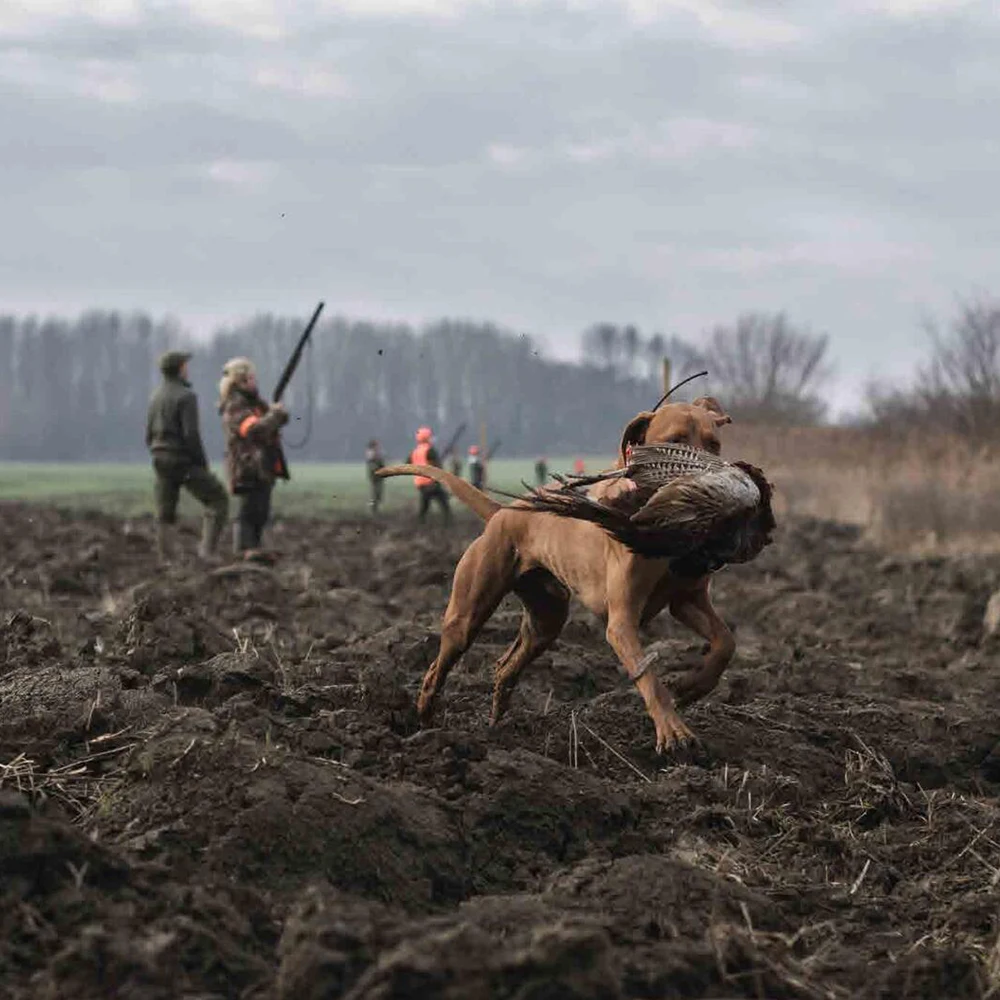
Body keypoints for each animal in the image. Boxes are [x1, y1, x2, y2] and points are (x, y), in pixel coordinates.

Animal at [382, 396, 744, 752]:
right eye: (675, 442)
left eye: (713, 444)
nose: (707, 482)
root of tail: (502, 512)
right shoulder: (621, 621)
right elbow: (650, 677)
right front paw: (672, 730)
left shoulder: (686, 600)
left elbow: (725, 641)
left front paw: (694, 685)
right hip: (468, 612)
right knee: (438, 666)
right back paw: (426, 722)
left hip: (546, 618)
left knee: (506, 666)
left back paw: (498, 725)